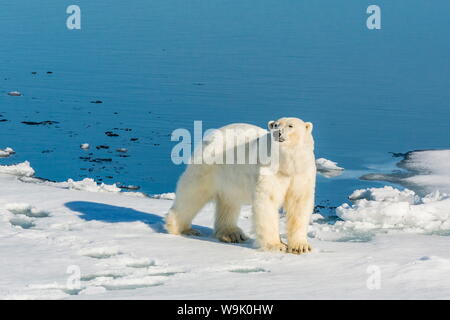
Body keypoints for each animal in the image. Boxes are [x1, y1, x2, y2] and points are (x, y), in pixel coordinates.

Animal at [165, 116, 316, 254]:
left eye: (291, 125)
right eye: (275, 125)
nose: (277, 132)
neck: (287, 165)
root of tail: (212, 134)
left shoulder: (301, 173)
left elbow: (299, 204)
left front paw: (300, 247)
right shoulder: (270, 171)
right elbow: (268, 200)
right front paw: (276, 246)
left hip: (230, 178)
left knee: (228, 201)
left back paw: (231, 234)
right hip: (210, 165)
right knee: (193, 193)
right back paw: (182, 228)